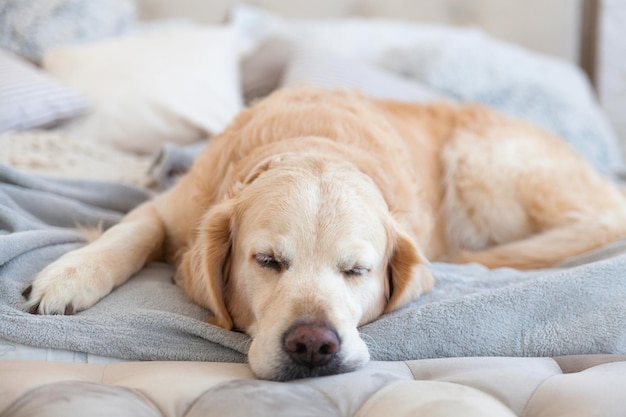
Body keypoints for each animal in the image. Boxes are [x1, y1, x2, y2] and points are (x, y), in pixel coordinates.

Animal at [19, 88, 624, 380]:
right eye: (266, 261)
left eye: (357, 270)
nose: (313, 344)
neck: (312, 140)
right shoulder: (171, 207)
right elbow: (130, 231)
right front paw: (71, 274)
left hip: (482, 164)